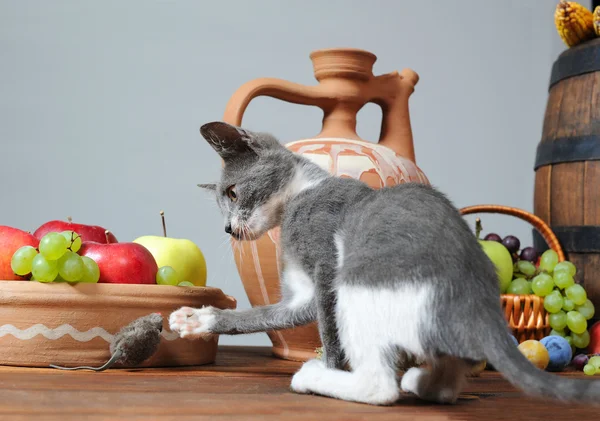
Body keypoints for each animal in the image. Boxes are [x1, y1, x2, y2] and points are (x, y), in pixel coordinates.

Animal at [169, 121, 600, 404]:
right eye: (222, 203)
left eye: (233, 192)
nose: (228, 227)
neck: (298, 197)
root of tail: (479, 305)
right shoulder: (304, 296)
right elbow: (267, 314)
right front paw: (198, 319)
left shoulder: (326, 266)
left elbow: (328, 331)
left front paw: (331, 366)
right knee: (446, 386)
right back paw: (420, 382)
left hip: (356, 284)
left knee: (379, 387)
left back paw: (317, 378)